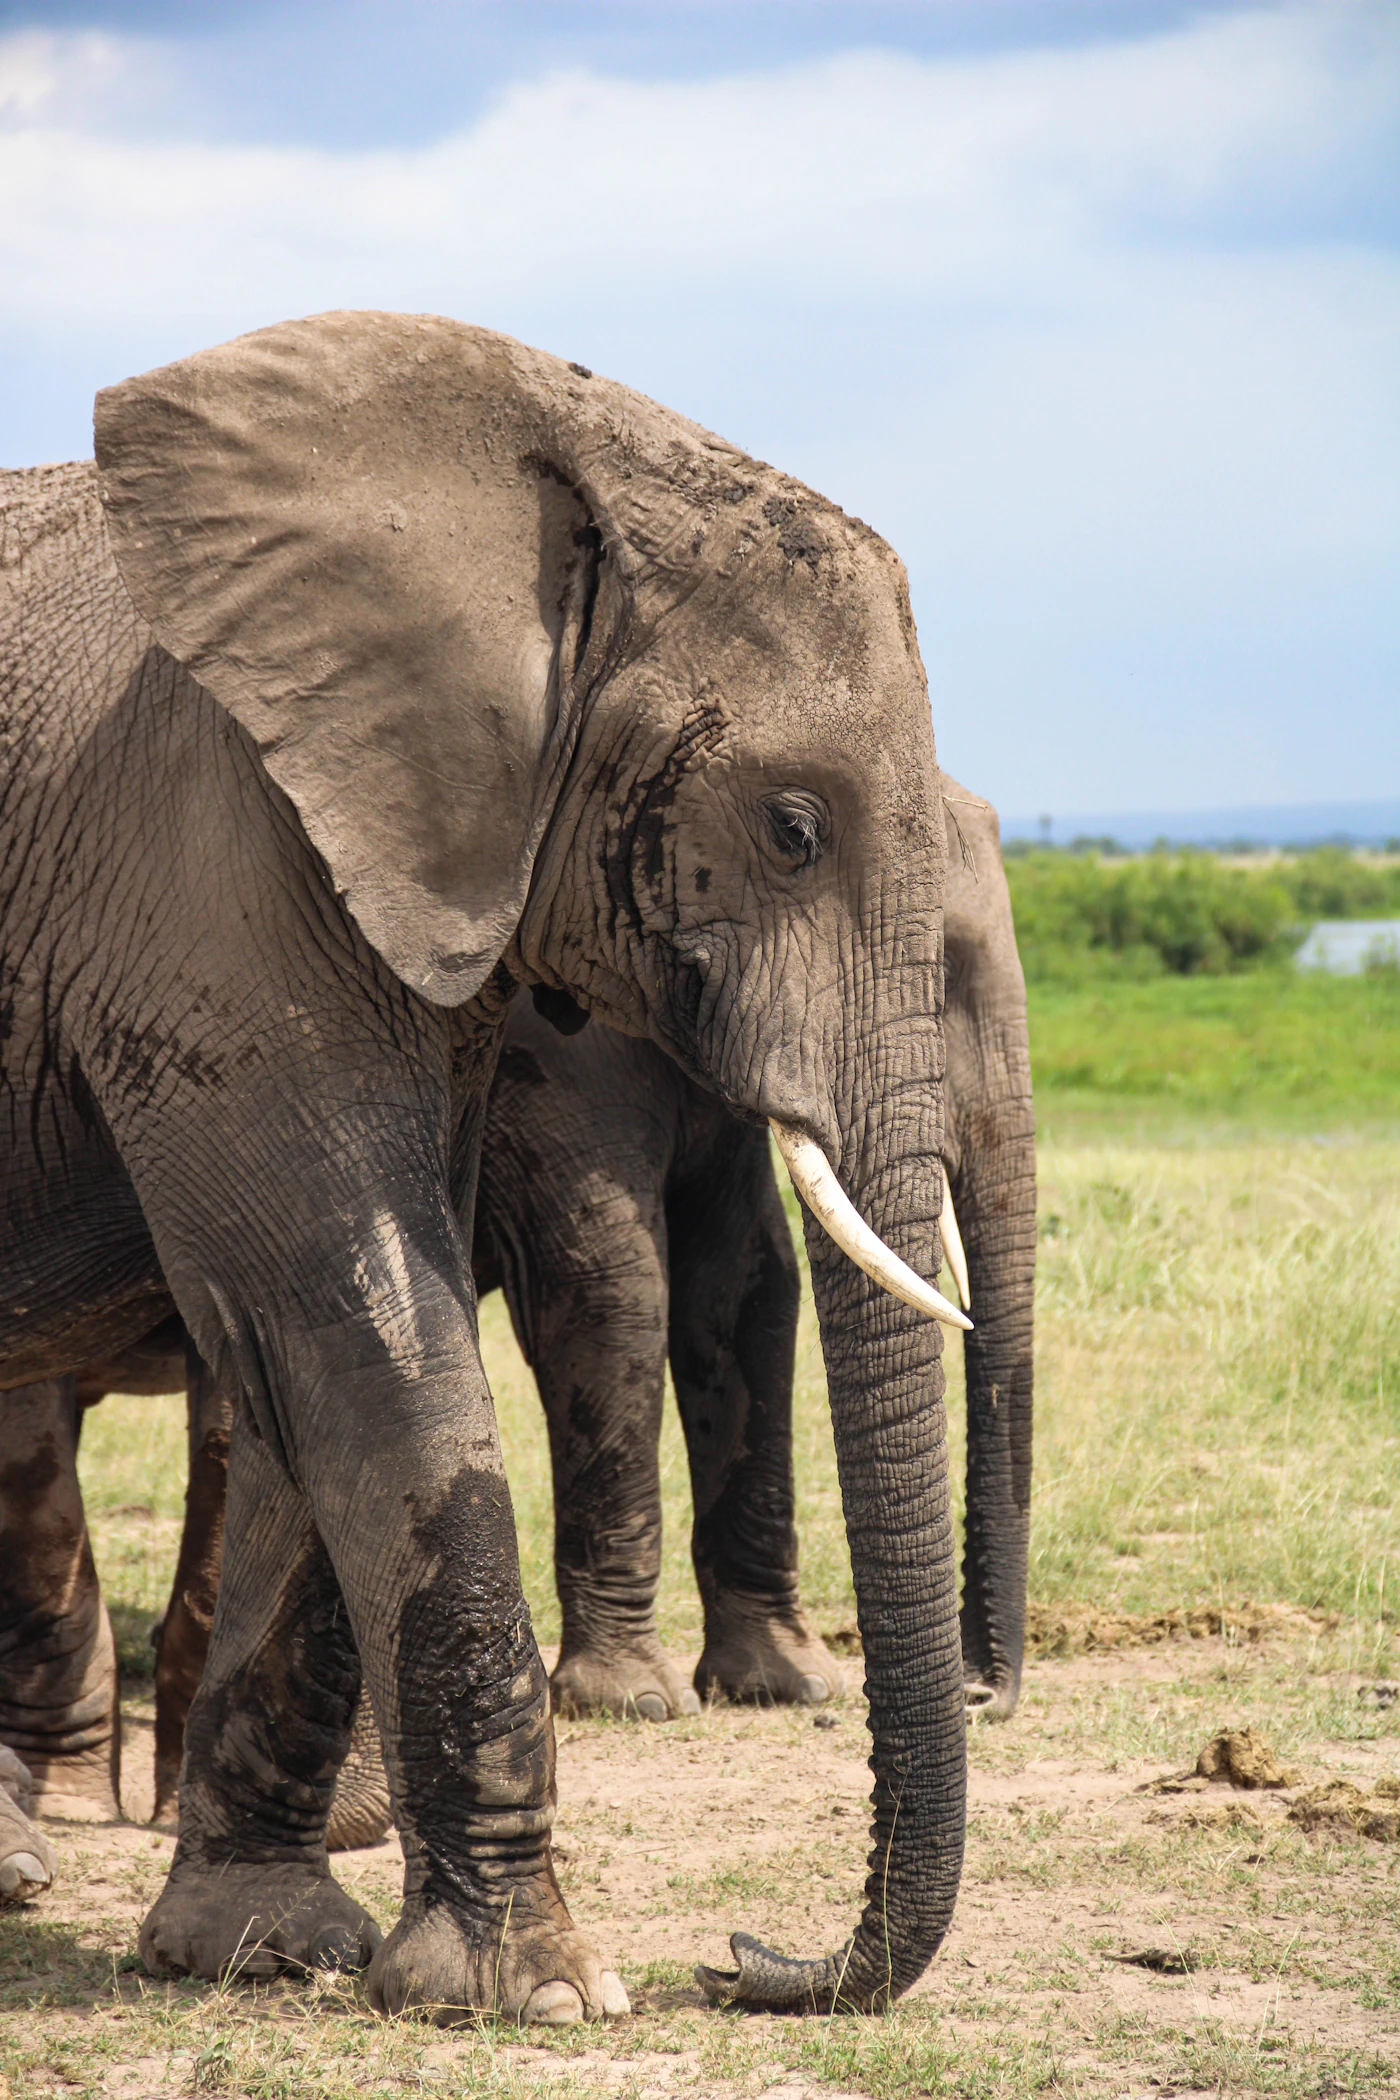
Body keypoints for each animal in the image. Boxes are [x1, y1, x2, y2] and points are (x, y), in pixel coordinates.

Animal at [0, 312, 970, 2020]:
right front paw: (546, 1993)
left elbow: (318, 1358)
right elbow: (357, 1325)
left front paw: (256, 1948)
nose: (748, 1962)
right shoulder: (213, 860)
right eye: (792, 828)